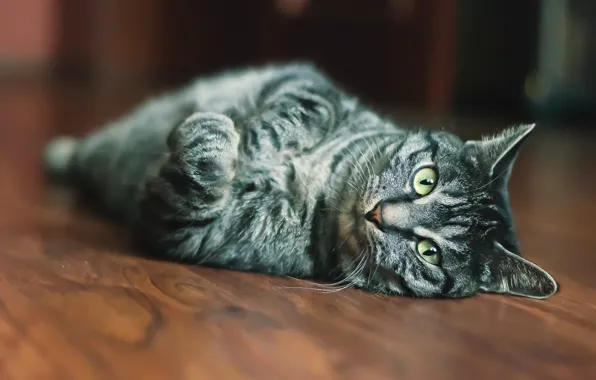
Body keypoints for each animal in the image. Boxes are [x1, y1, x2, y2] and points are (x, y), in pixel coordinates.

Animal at [43, 61, 560, 300]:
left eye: (428, 252)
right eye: (425, 180)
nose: (380, 214)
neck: (322, 185)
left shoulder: (188, 232)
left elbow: (198, 188)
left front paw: (217, 142)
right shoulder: (307, 83)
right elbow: (294, 114)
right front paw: (249, 143)